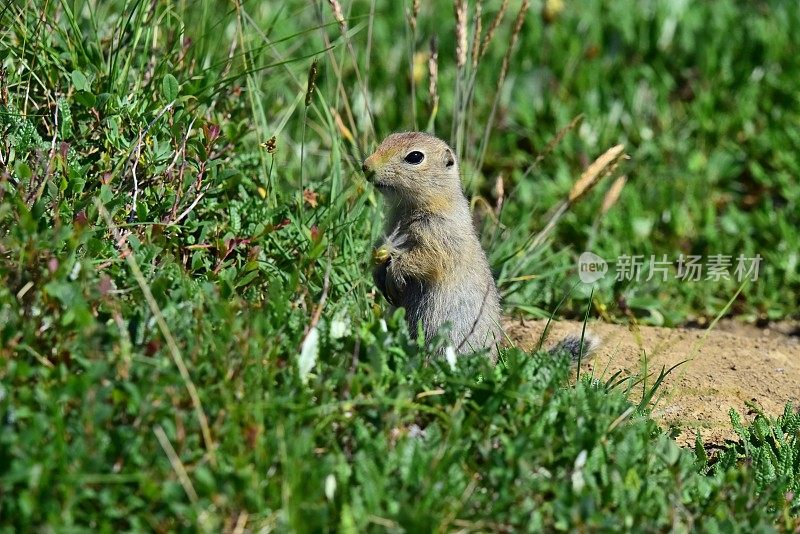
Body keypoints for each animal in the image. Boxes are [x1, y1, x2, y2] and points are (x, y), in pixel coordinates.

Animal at [366, 132, 596, 364]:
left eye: (415, 157)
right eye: (387, 139)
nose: (366, 166)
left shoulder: (440, 234)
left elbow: (425, 258)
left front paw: (395, 273)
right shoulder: (390, 226)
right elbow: (379, 248)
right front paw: (379, 274)